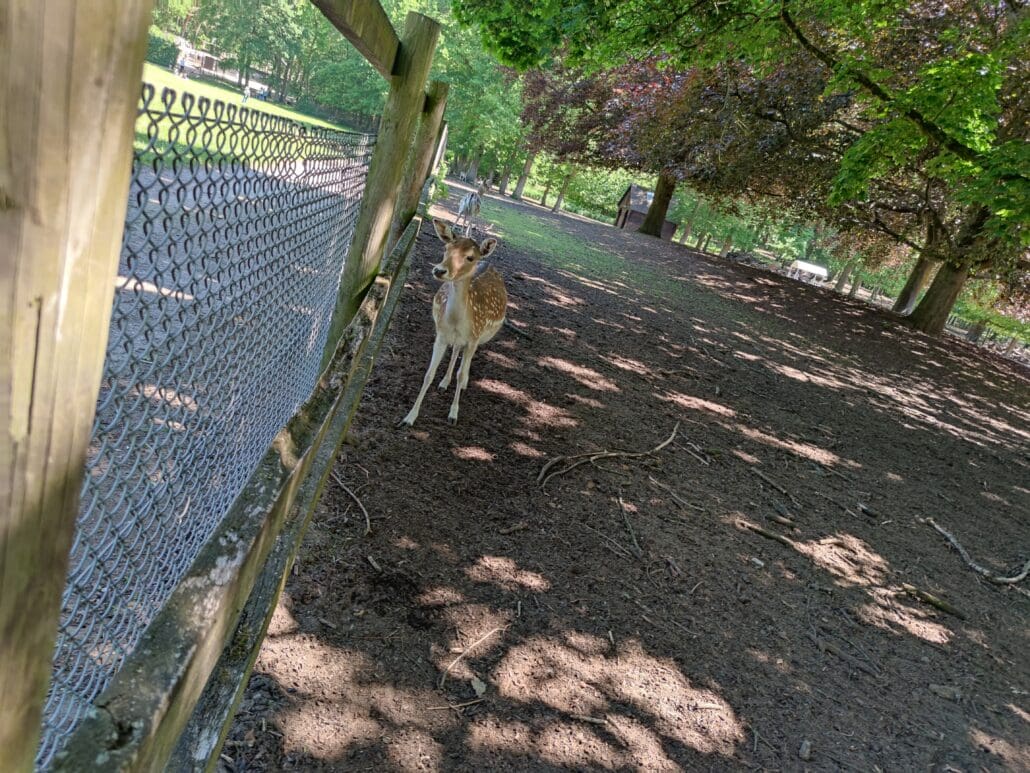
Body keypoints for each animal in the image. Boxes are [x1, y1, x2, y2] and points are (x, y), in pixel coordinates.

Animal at [400, 218, 507, 427]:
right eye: (446, 248)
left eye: (470, 257)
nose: (439, 270)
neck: (458, 322)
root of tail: (488, 261)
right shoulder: (441, 335)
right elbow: (428, 374)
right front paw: (409, 417)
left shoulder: (474, 337)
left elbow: (461, 374)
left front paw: (453, 414)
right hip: (457, 339)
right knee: (456, 350)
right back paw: (444, 382)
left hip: (479, 337)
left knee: (466, 360)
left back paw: (462, 383)